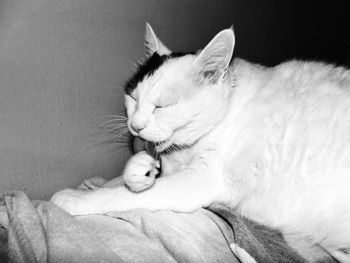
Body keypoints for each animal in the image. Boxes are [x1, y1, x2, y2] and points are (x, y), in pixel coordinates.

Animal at [51, 23, 350, 262]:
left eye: (163, 106)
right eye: (133, 97)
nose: (135, 126)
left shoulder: (201, 179)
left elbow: (120, 195)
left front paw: (75, 198)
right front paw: (138, 170)